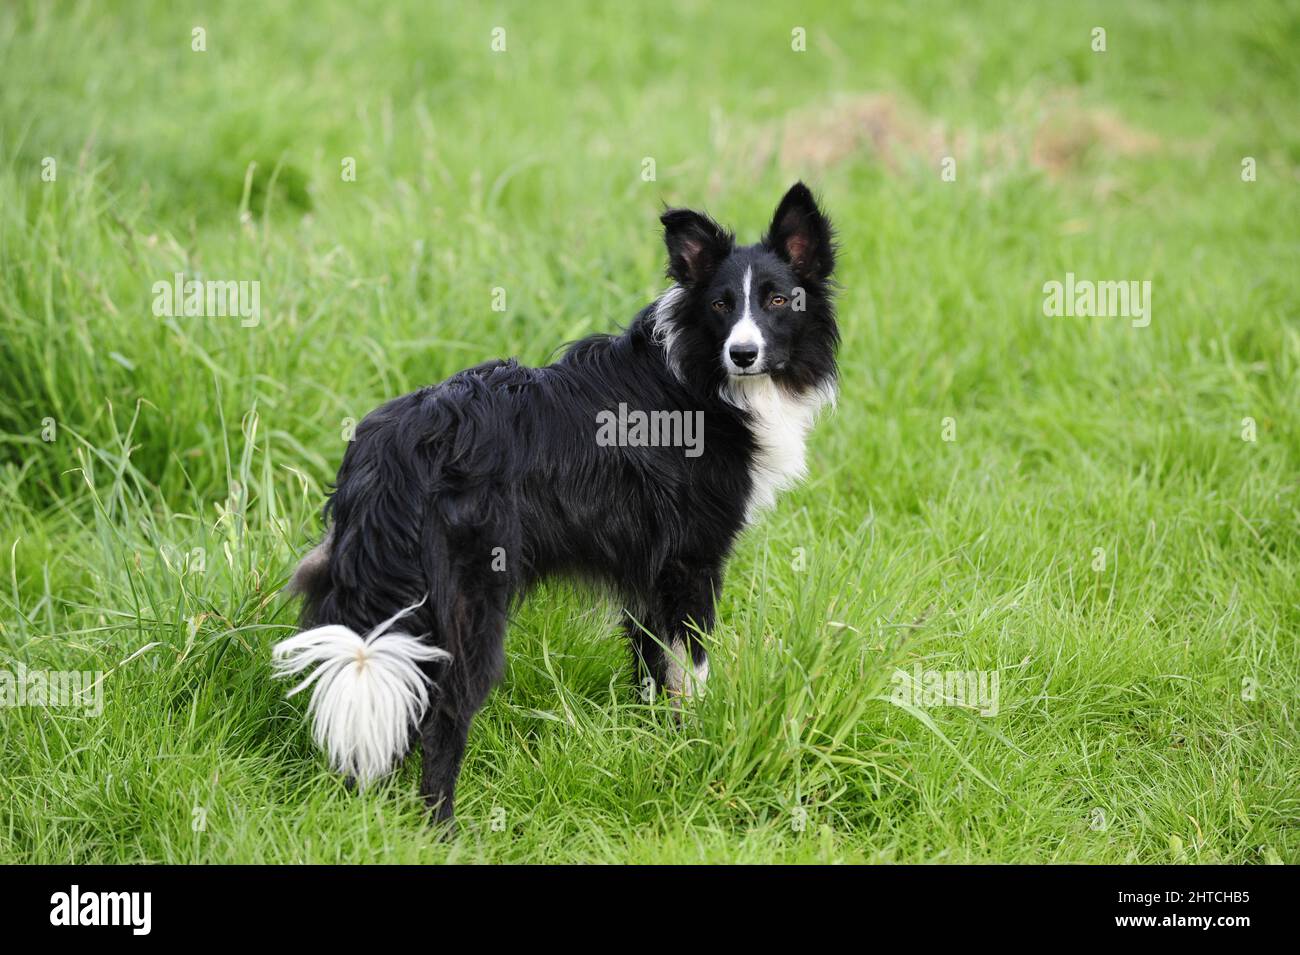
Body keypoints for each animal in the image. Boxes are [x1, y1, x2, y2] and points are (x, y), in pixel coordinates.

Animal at [276, 183, 842, 826]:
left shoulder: (646, 570)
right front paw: (700, 747)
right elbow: (692, 669)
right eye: (721, 304)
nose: (743, 353)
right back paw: (439, 829)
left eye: (778, 299)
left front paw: (658, 749)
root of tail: (396, 446)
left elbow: (653, 669)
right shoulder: (692, 563)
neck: (706, 381)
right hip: (468, 602)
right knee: (443, 716)